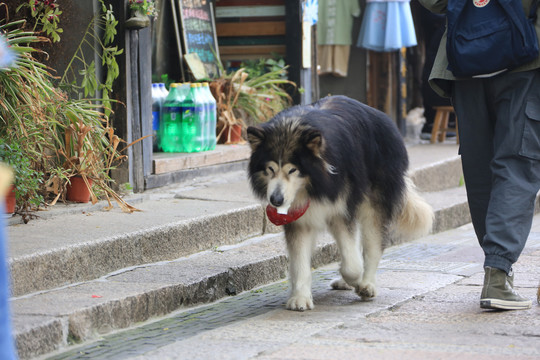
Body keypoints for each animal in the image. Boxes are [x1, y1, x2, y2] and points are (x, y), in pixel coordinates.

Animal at [247, 96, 432, 312]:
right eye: (270, 169)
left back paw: (367, 283)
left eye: (292, 170)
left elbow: (352, 265)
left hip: (374, 200)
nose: (276, 201)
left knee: (372, 243)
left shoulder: (341, 210)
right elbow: (300, 260)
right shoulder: (300, 219)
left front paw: (358, 280)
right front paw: (300, 297)